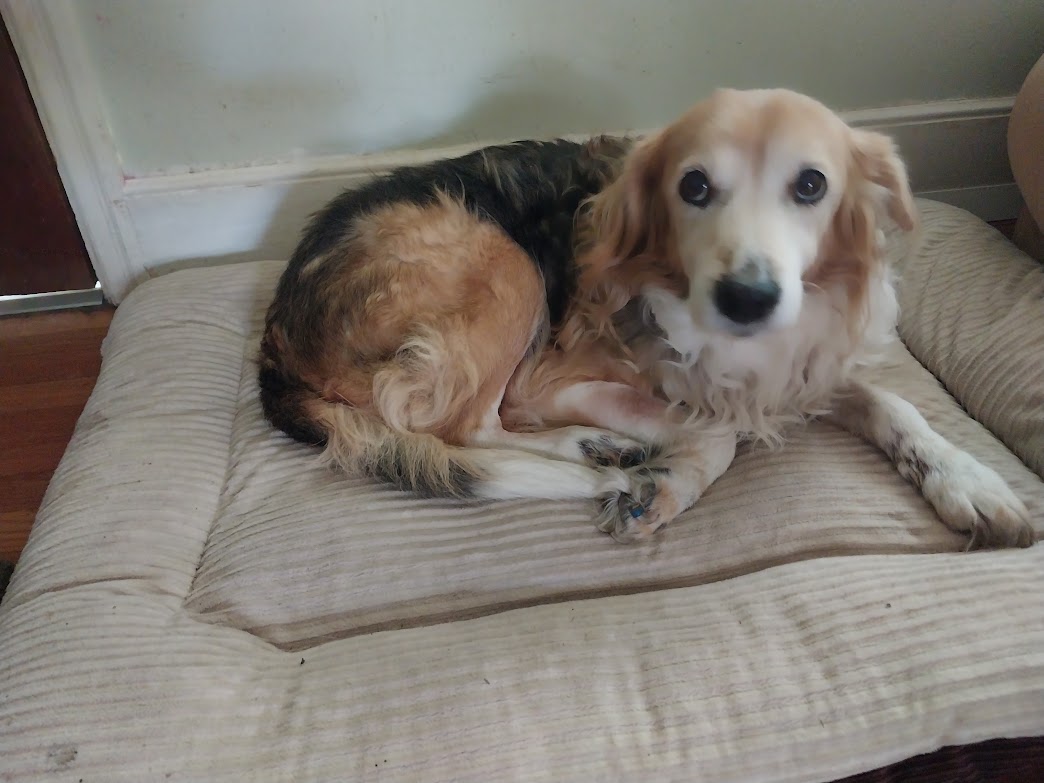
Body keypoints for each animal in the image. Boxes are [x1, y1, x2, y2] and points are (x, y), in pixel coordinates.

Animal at [258, 87, 1035, 549]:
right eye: (694, 187)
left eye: (811, 185)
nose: (748, 296)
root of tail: (275, 342)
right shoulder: (553, 380)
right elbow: (718, 432)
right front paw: (669, 482)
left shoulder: (797, 368)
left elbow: (892, 403)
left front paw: (967, 478)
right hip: (507, 265)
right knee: (465, 425)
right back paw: (593, 450)